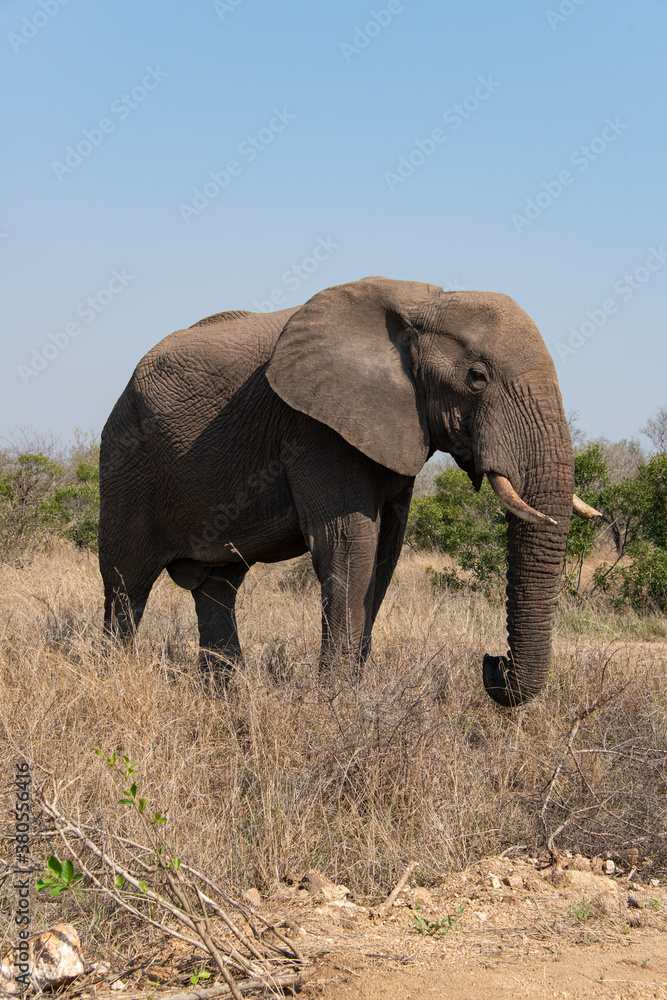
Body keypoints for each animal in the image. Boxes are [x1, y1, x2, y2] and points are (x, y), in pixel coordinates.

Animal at [100, 278, 600, 708]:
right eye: (477, 376)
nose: (494, 663)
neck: (422, 304)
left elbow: (386, 552)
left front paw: (352, 691)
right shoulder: (315, 429)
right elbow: (347, 542)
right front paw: (334, 701)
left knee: (218, 588)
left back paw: (224, 696)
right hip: (126, 459)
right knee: (126, 584)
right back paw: (113, 677)